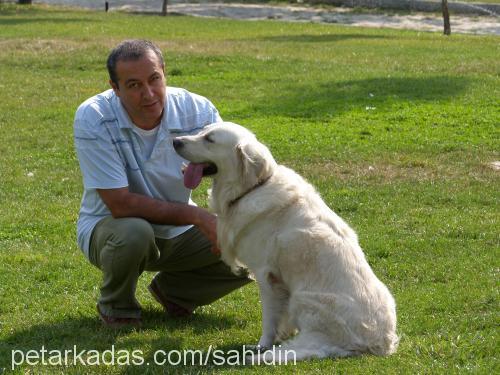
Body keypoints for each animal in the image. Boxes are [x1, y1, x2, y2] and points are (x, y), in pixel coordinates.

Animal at [173, 122, 398, 362]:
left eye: (210, 139)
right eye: (201, 130)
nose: (175, 142)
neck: (252, 188)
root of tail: (380, 344)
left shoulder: (265, 274)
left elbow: (269, 318)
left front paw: (262, 345)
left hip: (304, 299)